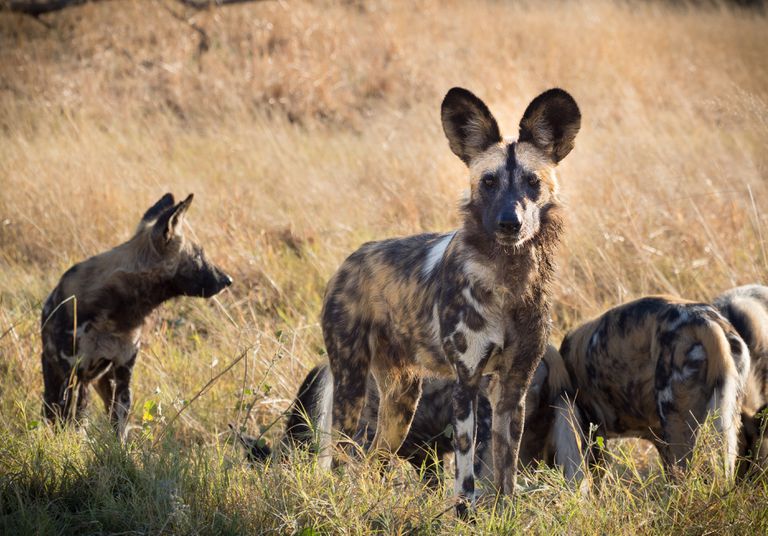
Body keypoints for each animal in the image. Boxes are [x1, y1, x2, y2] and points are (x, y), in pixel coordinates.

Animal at [41, 193, 232, 440]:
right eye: (198, 255)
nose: (227, 280)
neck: (115, 311)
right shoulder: (70, 373)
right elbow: (63, 423)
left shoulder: (123, 374)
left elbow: (119, 429)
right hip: (60, 378)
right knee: (55, 412)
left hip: (100, 381)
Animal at [320, 87, 584, 510]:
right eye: (489, 181)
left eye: (532, 181)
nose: (510, 223)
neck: (507, 280)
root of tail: (350, 260)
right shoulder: (467, 384)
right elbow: (465, 472)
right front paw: (464, 513)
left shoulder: (513, 389)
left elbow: (506, 471)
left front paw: (504, 512)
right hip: (352, 387)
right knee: (343, 459)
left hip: (402, 400)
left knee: (374, 460)